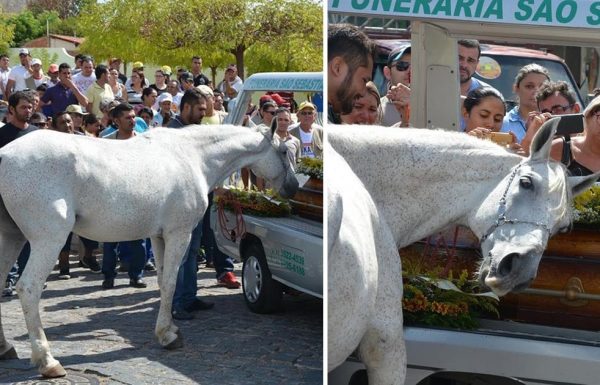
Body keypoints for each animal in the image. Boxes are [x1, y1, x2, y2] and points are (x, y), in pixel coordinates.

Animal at [0, 124, 298, 376]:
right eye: (284, 150)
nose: (293, 187)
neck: (192, 156)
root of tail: (4, 155)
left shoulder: (158, 236)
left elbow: (162, 280)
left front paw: (170, 329)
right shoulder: (179, 233)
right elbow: (170, 283)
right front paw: (167, 335)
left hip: (11, 238)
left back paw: (6, 348)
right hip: (48, 240)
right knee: (28, 288)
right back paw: (47, 360)